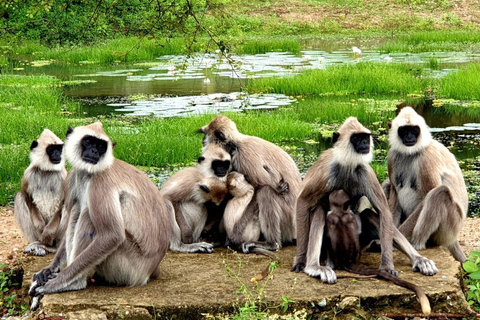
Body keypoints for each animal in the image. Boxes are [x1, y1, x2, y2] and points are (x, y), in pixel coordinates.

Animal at [199, 115, 300, 252]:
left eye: (206, 134)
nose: (203, 141)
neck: (236, 144)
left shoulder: (244, 156)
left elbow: (259, 188)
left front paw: (235, 235)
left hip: (288, 220)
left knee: (266, 191)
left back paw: (272, 244)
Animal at [384, 107, 466, 262]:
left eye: (414, 130)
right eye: (404, 130)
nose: (410, 137)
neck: (410, 153)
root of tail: (453, 239)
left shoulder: (427, 158)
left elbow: (428, 194)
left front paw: (393, 239)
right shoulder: (392, 156)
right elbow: (394, 192)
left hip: (451, 227)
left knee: (439, 193)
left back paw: (417, 244)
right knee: (386, 184)